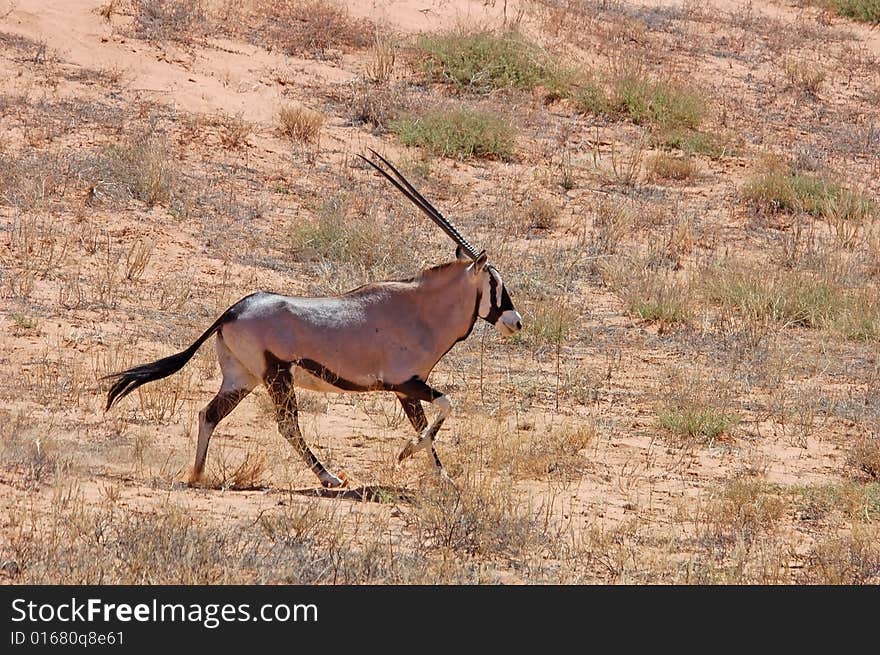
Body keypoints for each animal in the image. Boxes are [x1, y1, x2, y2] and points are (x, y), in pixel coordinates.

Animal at [106, 150, 524, 486]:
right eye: (495, 282)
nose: (515, 321)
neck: (420, 309)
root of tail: (235, 309)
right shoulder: (405, 382)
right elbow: (444, 408)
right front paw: (407, 453)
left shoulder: (409, 390)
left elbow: (426, 426)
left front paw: (443, 479)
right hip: (277, 377)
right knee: (286, 424)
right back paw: (329, 477)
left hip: (242, 378)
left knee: (209, 415)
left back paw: (197, 475)